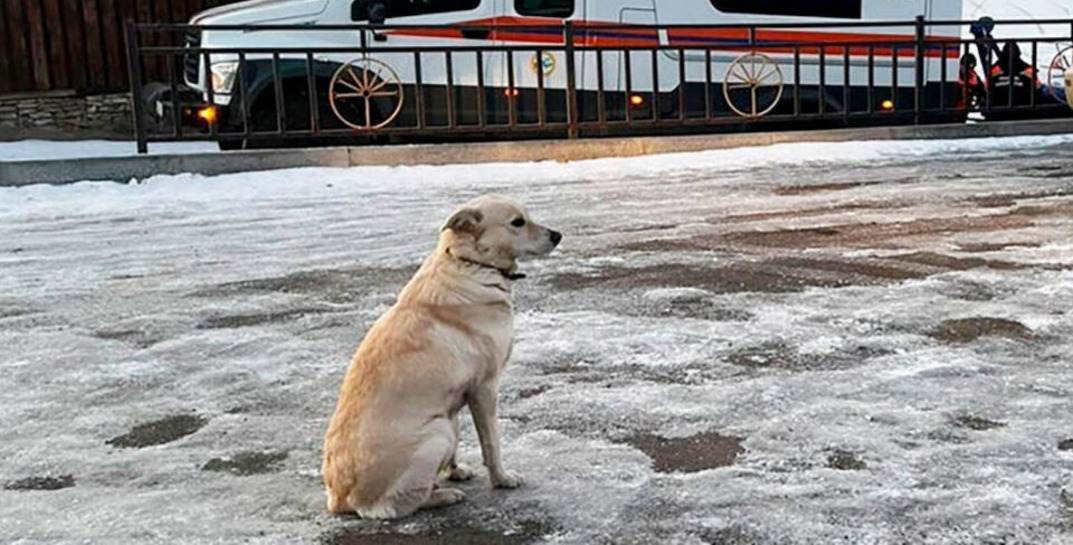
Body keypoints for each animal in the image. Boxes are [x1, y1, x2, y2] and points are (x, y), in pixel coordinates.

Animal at [321, 194, 566, 517]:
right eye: (517, 222)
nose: (558, 235)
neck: (470, 263)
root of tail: (339, 499)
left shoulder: (456, 399)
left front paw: (455, 470)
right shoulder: (485, 388)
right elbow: (492, 443)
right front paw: (501, 479)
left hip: (444, 424)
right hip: (437, 433)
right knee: (395, 505)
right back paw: (444, 496)